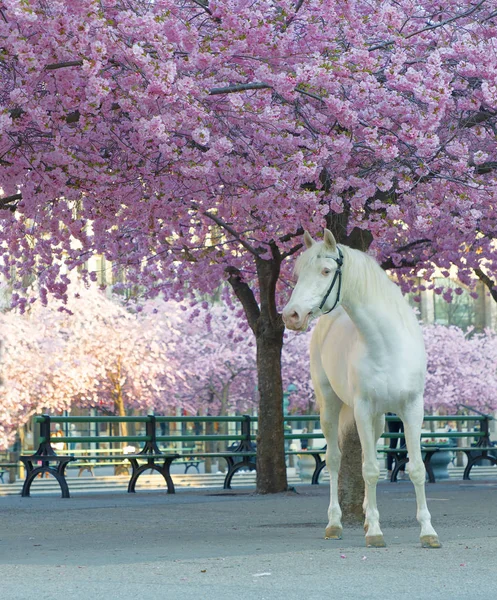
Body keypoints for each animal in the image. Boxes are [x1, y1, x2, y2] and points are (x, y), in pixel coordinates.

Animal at [280, 230, 440, 548]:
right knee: (334, 460)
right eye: (299, 273)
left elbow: (416, 469)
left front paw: (428, 532)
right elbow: (370, 470)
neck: (388, 345)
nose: (291, 315)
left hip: (378, 419)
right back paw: (334, 524)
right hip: (329, 406)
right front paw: (376, 533)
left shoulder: (412, 409)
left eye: (325, 271)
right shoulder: (363, 410)